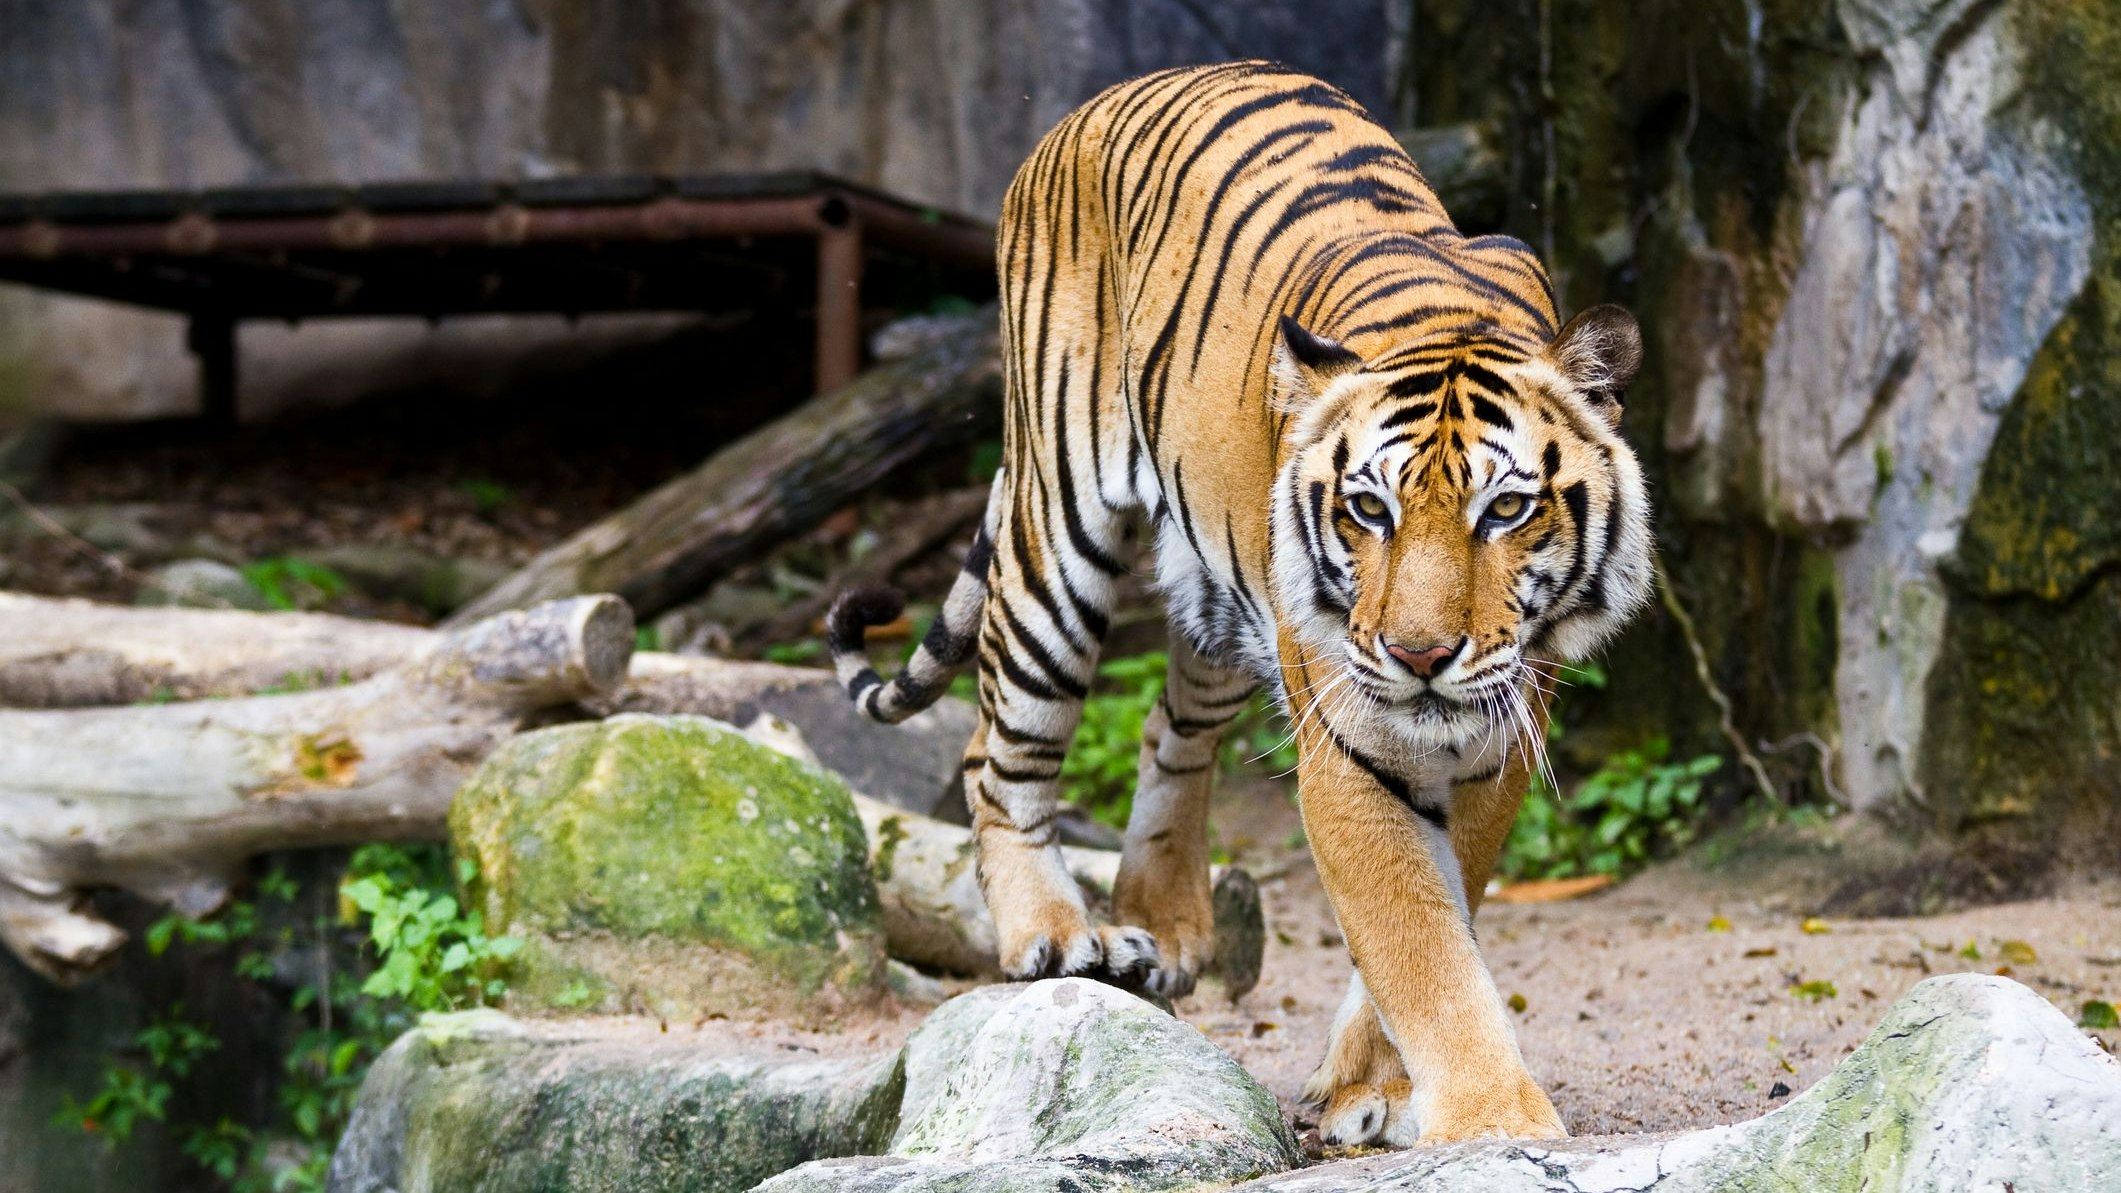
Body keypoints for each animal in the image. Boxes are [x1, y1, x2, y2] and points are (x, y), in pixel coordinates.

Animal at [827, 61, 1652, 1146]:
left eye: (1505, 509)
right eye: (1368, 509)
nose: (1421, 655)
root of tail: (1103, 99)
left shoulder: (1500, 734)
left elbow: (1444, 907)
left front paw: (1372, 1087)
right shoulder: (1348, 747)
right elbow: (1418, 939)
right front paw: (1491, 1121)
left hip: (1217, 590)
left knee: (1168, 730)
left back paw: (1164, 924)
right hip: (1059, 530)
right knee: (997, 750)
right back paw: (1053, 933)